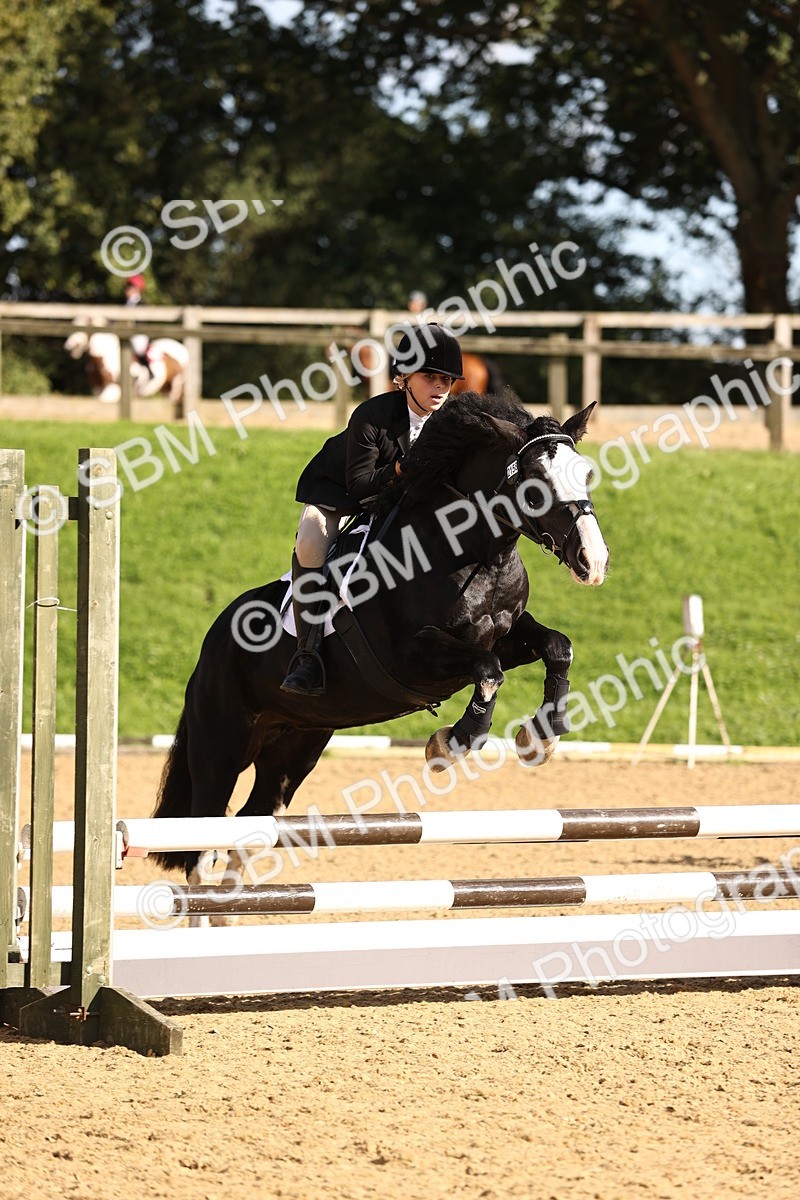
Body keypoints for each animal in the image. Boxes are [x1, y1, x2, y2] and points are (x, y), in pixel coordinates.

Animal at [151, 391, 609, 898]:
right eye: (534, 485)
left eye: (585, 474)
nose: (593, 561)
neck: (475, 555)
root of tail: (211, 641)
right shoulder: (415, 658)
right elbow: (487, 670)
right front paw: (453, 742)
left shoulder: (506, 634)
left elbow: (556, 646)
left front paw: (541, 736)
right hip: (221, 746)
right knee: (201, 839)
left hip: (294, 748)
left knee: (250, 828)